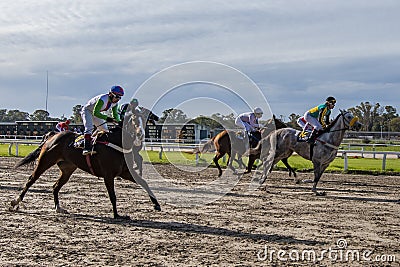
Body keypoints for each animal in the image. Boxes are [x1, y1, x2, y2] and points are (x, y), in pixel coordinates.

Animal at [9, 113, 159, 220]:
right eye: (133, 119)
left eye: (144, 119)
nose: (140, 134)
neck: (117, 142)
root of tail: (52, 135)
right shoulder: (108, 175)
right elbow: (112, 195)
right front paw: (117, 215)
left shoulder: (124, 172)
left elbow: (144, 182)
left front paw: (156, 204)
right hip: (45, 161)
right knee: (31, 180)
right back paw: (16, 202)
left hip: (67, 169)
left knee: (55, 186)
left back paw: (58, 207)